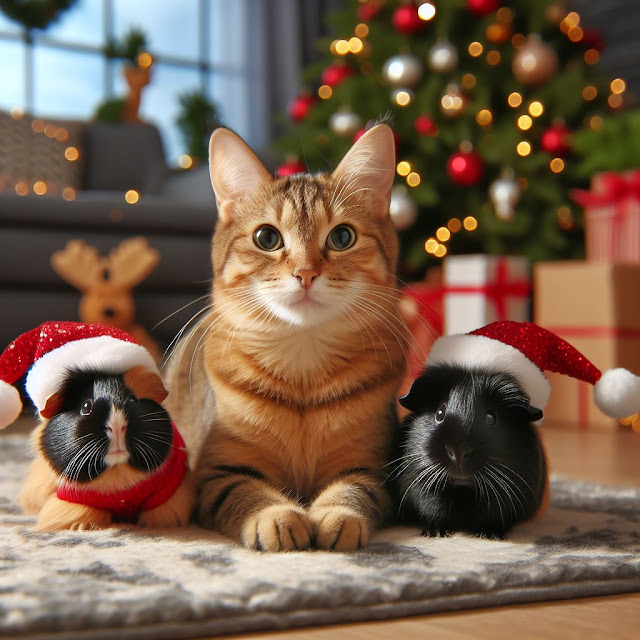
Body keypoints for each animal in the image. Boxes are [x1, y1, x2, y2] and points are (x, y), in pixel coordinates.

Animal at [165, 124, 404, 552]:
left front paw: (337, 516)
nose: (305, 273)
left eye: (342, 237)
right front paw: (275, 516)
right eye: (267, 238)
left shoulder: (371, 465)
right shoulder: (217, 471)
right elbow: (247, 492)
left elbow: (353, 490)